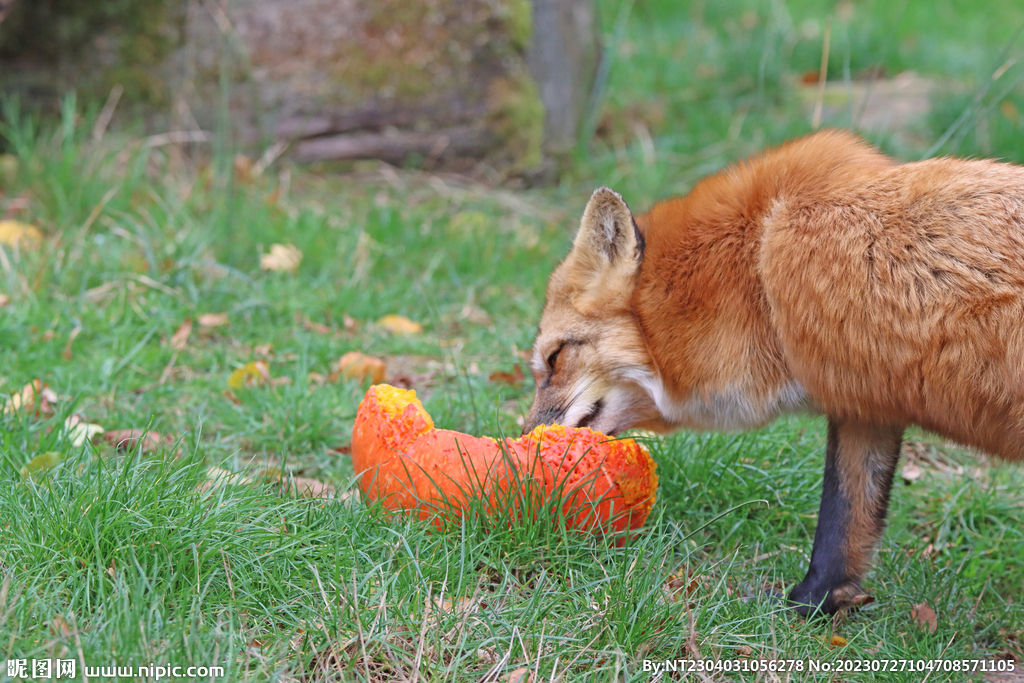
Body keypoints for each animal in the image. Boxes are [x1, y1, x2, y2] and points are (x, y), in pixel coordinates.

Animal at [524, 127, 1024, 614]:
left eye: (554, 358)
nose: (523, 442)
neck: (755, 272)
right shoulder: (867, 400)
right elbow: (844, 521)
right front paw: (813, 605)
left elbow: (837, 514)